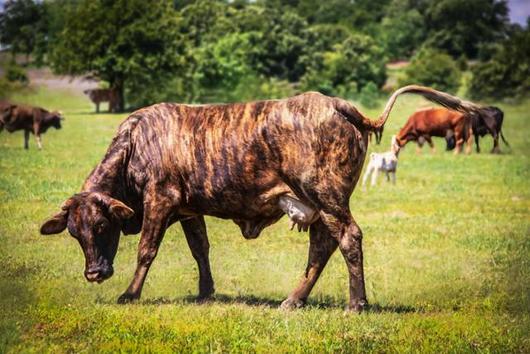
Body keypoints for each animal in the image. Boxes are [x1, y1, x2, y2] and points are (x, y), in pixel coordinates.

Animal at [40, 85, 478, 312]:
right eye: (74, 233)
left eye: (102, 224)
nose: (94, 273)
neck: (136, 143)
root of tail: (336, 104)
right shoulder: (188, 209)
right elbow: (200, 248)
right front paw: (205, 291)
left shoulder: (160, 200)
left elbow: (147, 250)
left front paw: (130, 294)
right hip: (319, 206)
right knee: (322, 246)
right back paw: (293, 300)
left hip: (328, 196)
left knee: (349, 239)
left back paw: (357, 303)